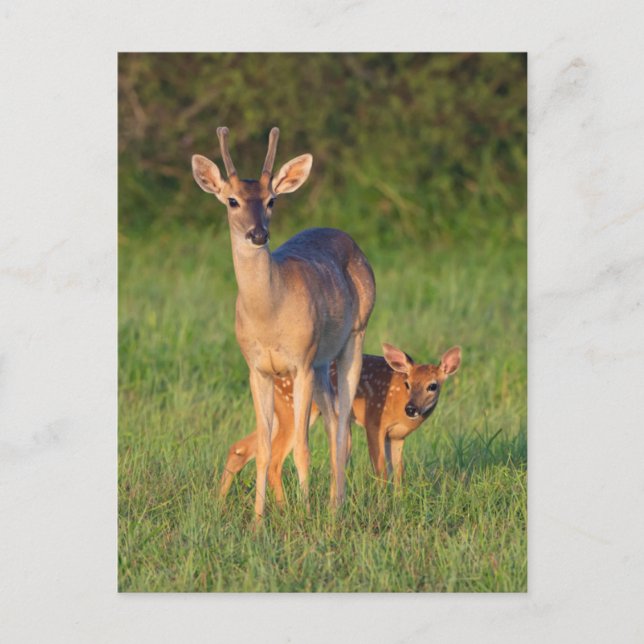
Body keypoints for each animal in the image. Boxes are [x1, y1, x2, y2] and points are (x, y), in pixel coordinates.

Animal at [192, 127, 375, 518]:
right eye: (232, 200)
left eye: (272, 200)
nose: (258, 234)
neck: (269, 316)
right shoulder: (257, 368)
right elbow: (263, 451)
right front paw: (259, 520)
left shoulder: (300, 362)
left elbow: (303, 450)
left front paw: (304, 516)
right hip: (321, 363)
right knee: (335, 421)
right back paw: (334, 504)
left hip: (354, 336)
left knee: (341, 426)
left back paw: (336, 508)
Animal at [219, 343, 461, 501]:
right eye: (408, 383)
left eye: (432, 386)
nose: (411, 409)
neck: (398, 403)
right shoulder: (374, 421)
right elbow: (381, 469)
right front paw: (383, 503)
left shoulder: (397, 436)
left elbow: (399, 471)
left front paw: (399, 501)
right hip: (293, 410)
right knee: (274, 460)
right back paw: (283, 508)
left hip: (281, 414)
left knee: (241, 447)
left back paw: (220, 502)